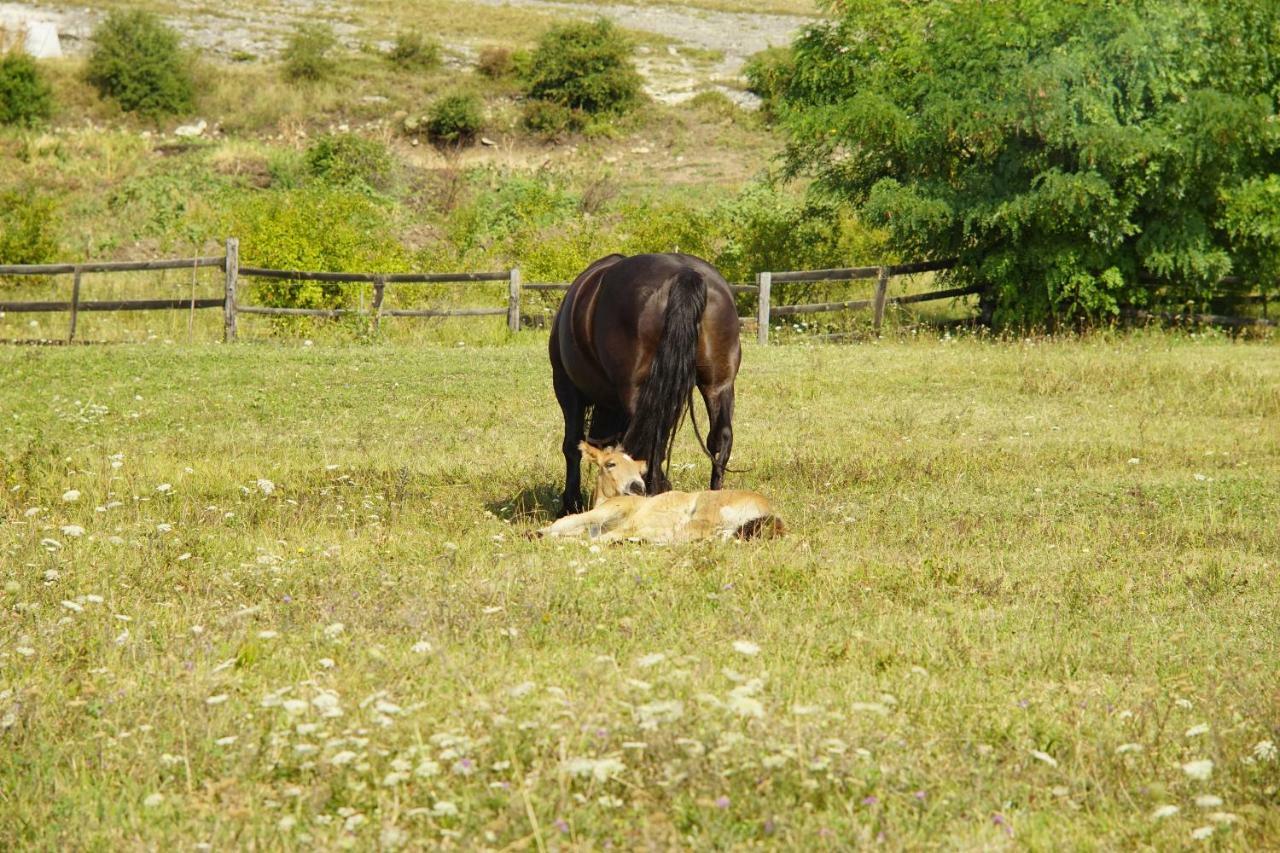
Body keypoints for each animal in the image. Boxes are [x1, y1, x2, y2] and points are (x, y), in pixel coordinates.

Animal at [537, 440, 783, 540]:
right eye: (610, 464)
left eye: (639, 469)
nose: (637, 486)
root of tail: (771, 514)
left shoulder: (608, 511)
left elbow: (564, 523)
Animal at [550, 249, 742, 514]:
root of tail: (685, 273)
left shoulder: (566, 388)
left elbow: (571, 445)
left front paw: (570, 502)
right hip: (719, 385)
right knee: (720, 438)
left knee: (654, 444)